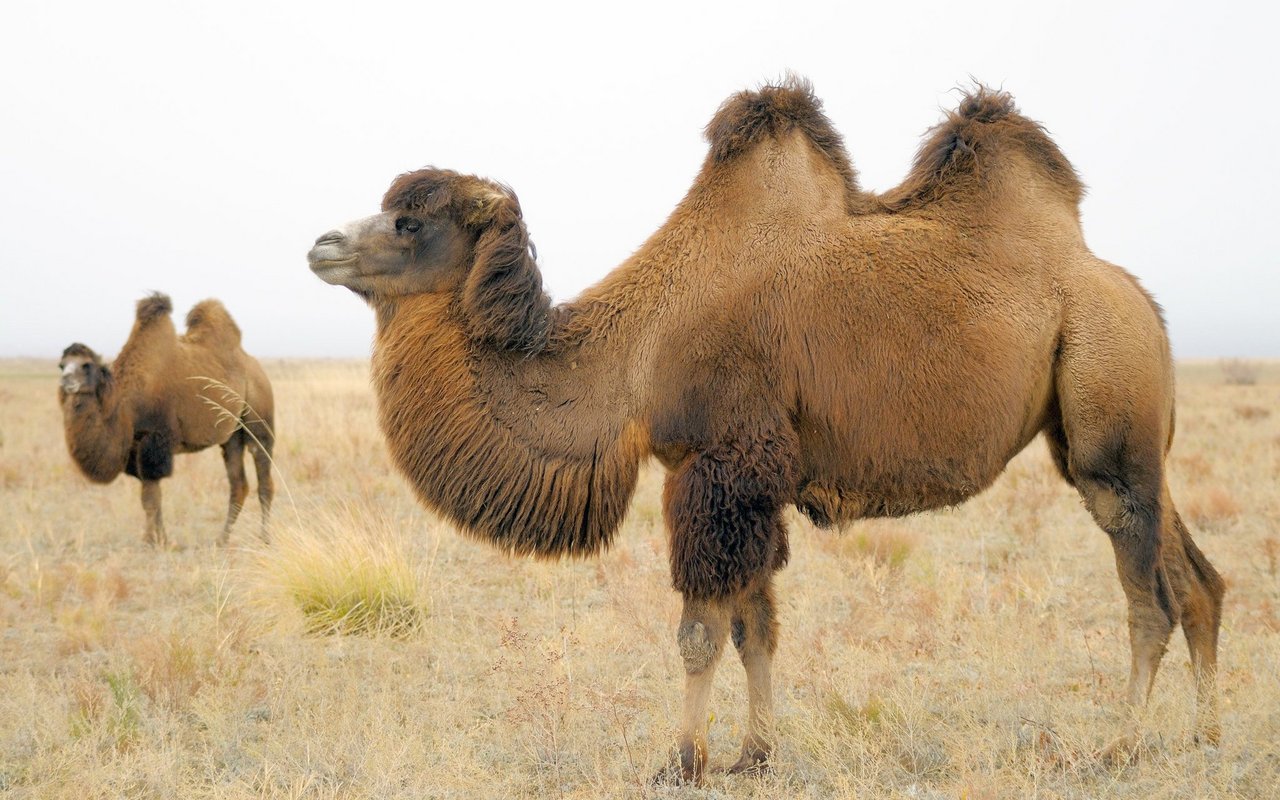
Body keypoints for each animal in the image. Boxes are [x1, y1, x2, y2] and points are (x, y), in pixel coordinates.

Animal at [58, 293, 275, 547]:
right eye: (61, 365)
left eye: (86, 365)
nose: (67, 381)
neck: (125, 405)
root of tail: (255, 366)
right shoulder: (135, 449)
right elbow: (148, 497)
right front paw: (151, 538)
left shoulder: (154, 442)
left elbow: (151, 497)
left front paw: (158, 542)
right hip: (232, 436)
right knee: (238, 484)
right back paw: (222, 539)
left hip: (259, 420)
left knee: (264, 480)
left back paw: (265, 538)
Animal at [304, 81, 1223, 778]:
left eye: (410, 222)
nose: (320, 243)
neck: (636, 357)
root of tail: (1137, 297)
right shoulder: (743, 481)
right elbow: (757, 629)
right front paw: (755, 754)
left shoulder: (723, 464)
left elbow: (701, 633)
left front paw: (681, 761)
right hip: (1118, 437)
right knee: (1198, 579)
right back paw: (1205, 737)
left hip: (1108, 404)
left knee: (1148, 592)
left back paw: (1120, 746)